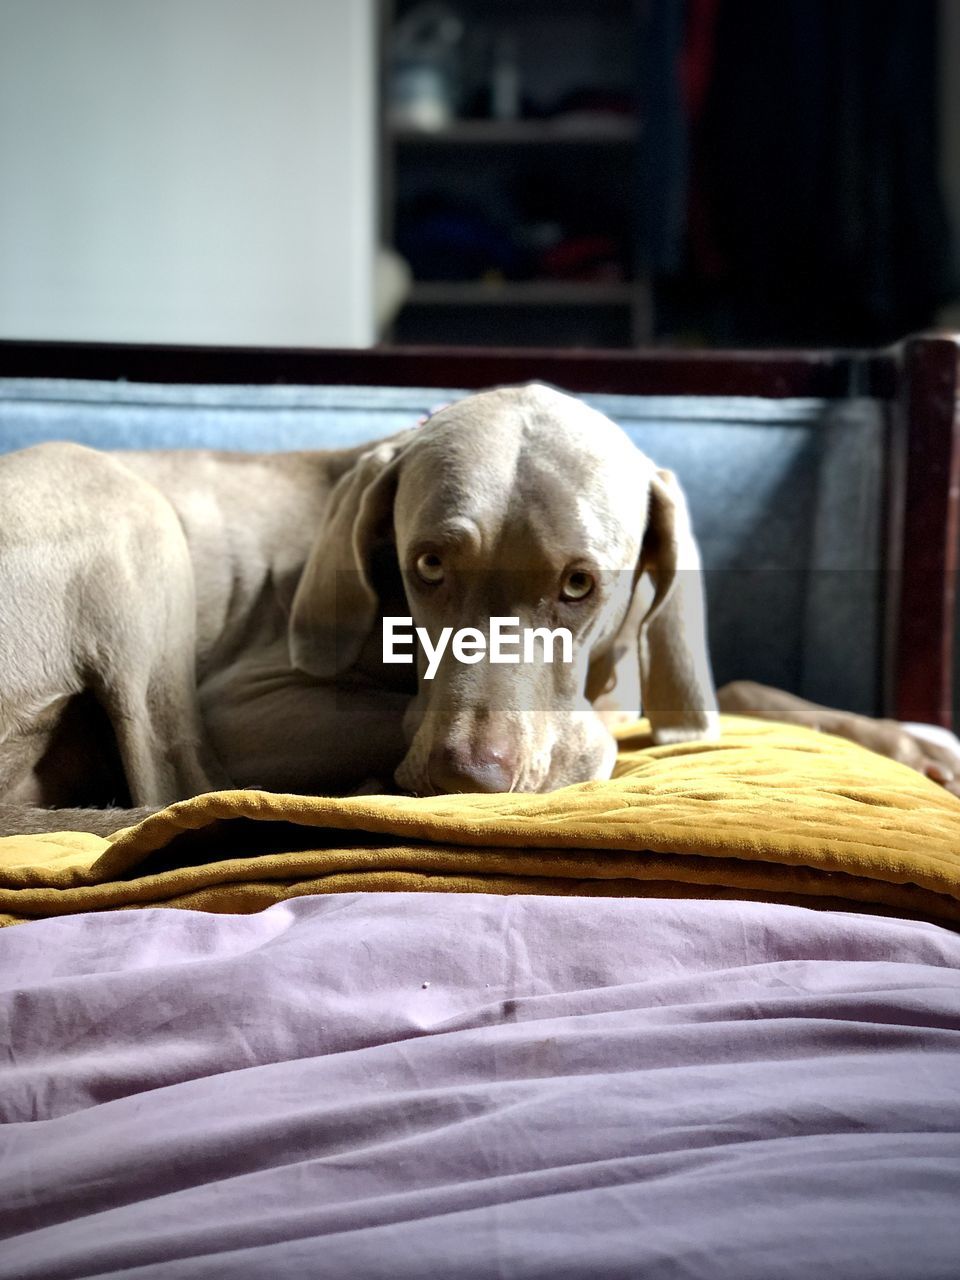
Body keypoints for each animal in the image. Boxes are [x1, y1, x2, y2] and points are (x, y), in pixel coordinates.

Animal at [0, 381, 957, 839]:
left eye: (581, 585)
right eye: (427, 566)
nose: (468, 777)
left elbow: (741, 693)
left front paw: (914, 744)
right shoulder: (245, 702)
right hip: (122, 500)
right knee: (180, 787)